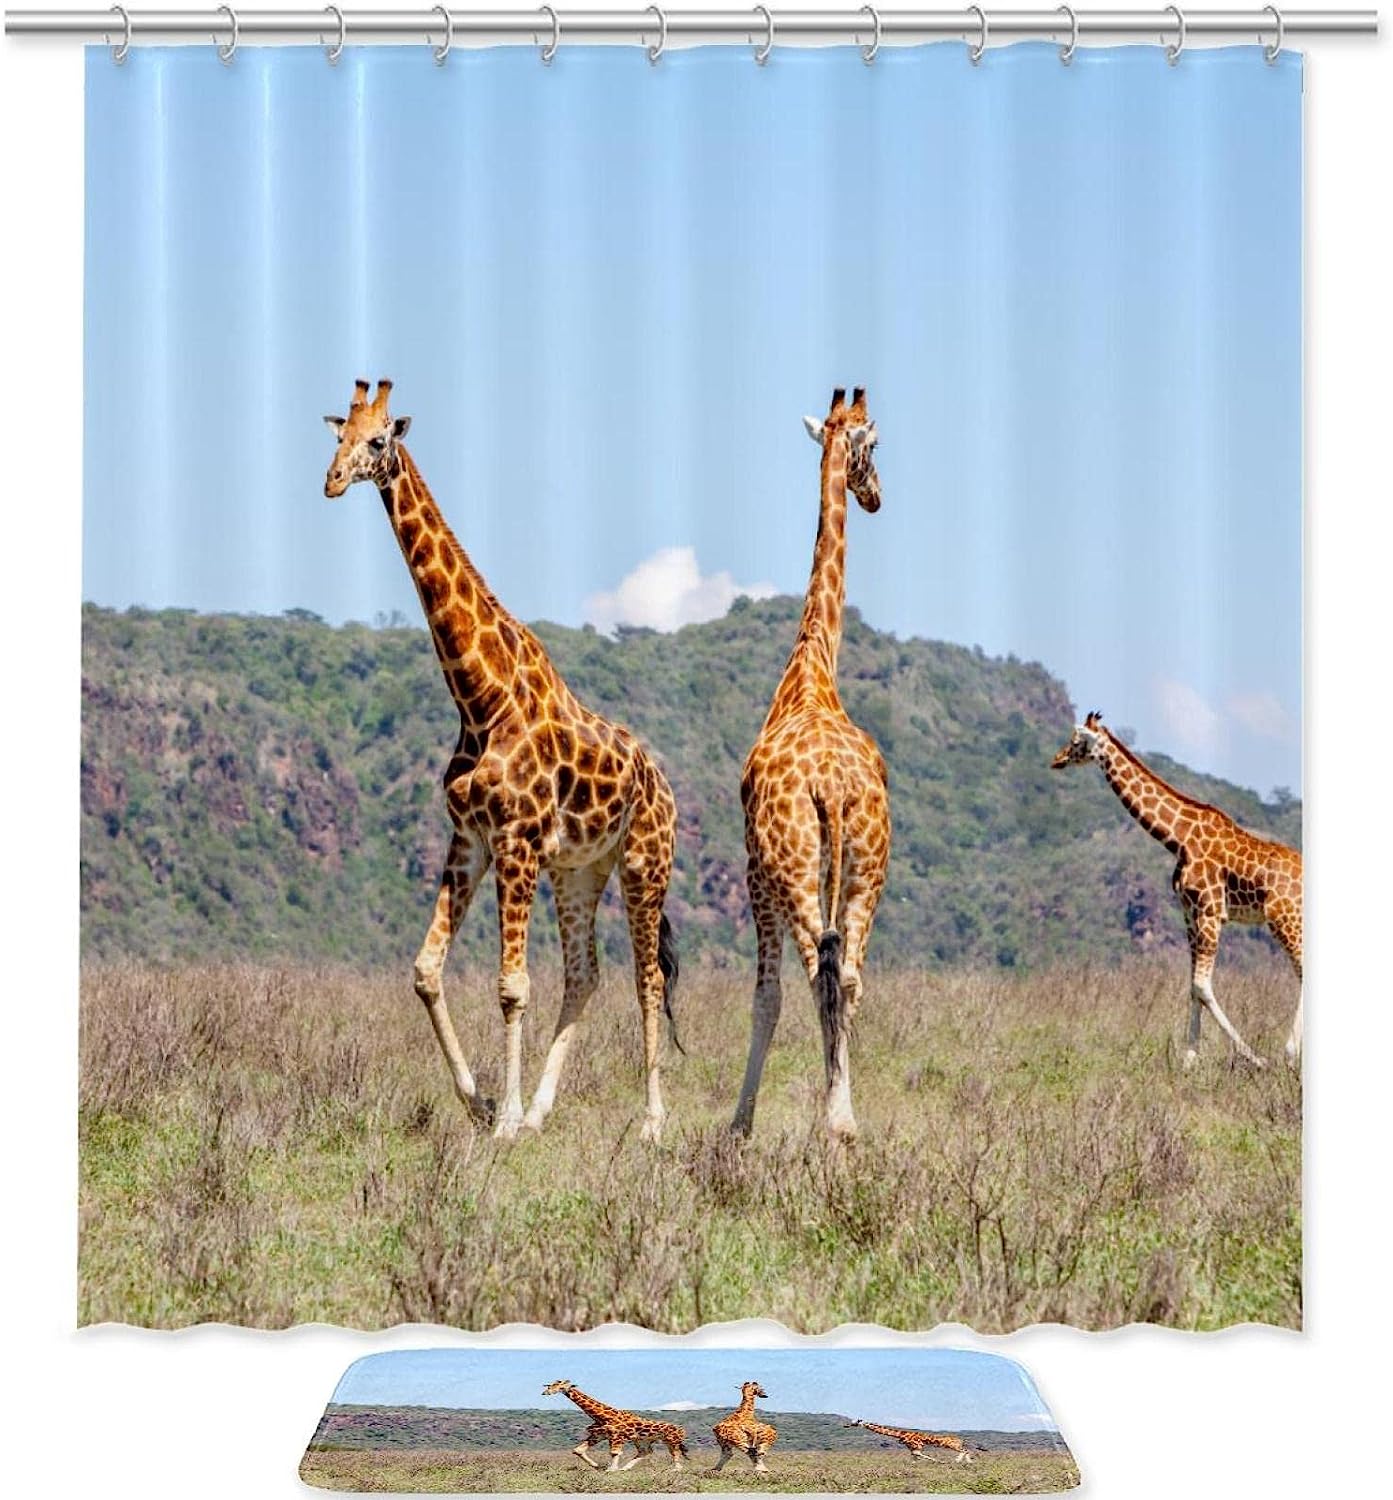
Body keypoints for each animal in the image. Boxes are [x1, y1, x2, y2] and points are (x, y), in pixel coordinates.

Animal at [323, 380, 682, 1140]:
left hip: (644, 862)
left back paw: (650, 1122)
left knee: (647, 979)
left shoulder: (515, 841)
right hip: (579, 871)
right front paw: (484, 1103)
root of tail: (664, 783)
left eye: (378, 440)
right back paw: (546, 1109)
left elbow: (511, 986)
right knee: (586, 973)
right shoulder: (471, 839)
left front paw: (505, 1117)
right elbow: (426, 970)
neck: (478, 696)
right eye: (337, 437)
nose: (333, 481)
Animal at [540, 1380, 689, 1471]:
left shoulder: (617, 1436)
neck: (601, 1416)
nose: (545, 1393)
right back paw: (625, 1468)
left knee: (675, 1454)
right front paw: (598, 1466)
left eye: (561, 1386)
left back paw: (675, 1470)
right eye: (550, 1385)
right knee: (645, 1451)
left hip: (671, 1440)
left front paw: (611, 1469)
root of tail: (682, 1430)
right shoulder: (598, 1434)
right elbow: (578, 1450)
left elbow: (614, 1453)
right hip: (642, 1440)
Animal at [1052, 711, 1303, 1069]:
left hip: (1284, 919)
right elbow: (1192, 987)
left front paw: (1254, 1058)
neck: (1178, 837)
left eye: (1076, 742)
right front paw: (1189, 1061)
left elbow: (1202, 986)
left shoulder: (1211, 912)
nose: (1056, 759)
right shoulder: (1189, 914)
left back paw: (1289, 1053)